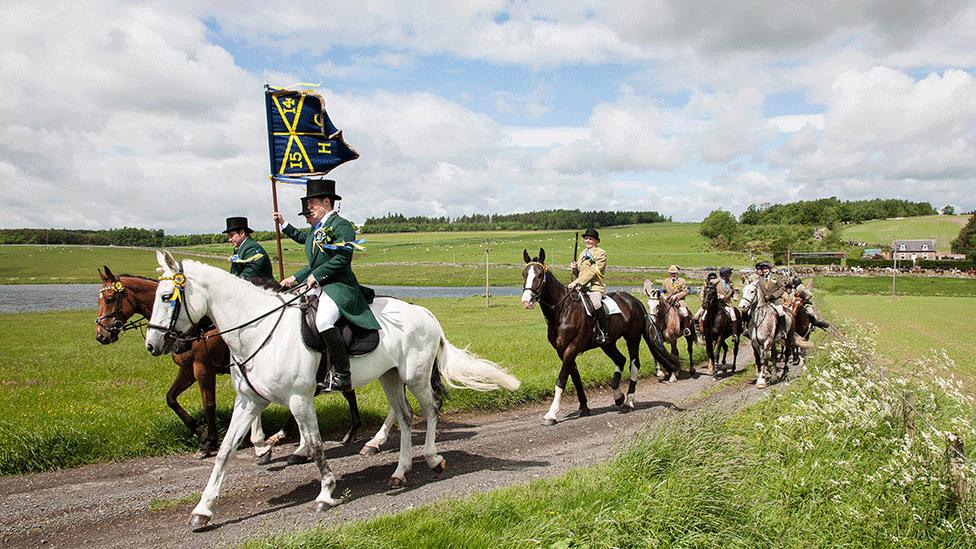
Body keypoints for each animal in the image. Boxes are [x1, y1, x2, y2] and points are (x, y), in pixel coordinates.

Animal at [95, 266, 364, 458]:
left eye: (109, 299)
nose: (101, 335)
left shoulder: (203, 368)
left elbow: (209, 404)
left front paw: (209, 441)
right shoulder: (189, 369)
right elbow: (171, 398)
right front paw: (202, 431)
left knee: (344, 390)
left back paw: (349, 432)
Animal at [144, 252, 520, 528]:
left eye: (165, 297)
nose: (153, 345)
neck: (259, 329)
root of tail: (425, 313)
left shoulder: (299, 399)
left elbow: (314, 446)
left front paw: (326, 493)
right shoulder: (248, 401)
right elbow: (225, 451)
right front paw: (203, 508)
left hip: (414, 376)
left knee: (430, 409)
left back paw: (431, 457)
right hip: (390, 377)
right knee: (405, 416)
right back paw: (400, 471)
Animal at [520, 248, 680, 424]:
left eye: (539, 274)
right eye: (524, 274)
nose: (526, 301)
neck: (562, 310)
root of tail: (635, 301)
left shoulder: (571, 348)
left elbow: (561, 379)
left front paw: (551, 414)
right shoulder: (563, 352)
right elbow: (575, 377)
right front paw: (584, 407)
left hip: (632, 338)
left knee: (634, 364)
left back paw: (629, 400)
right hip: (608, 343)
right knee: (620, 360)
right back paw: (618, 395)